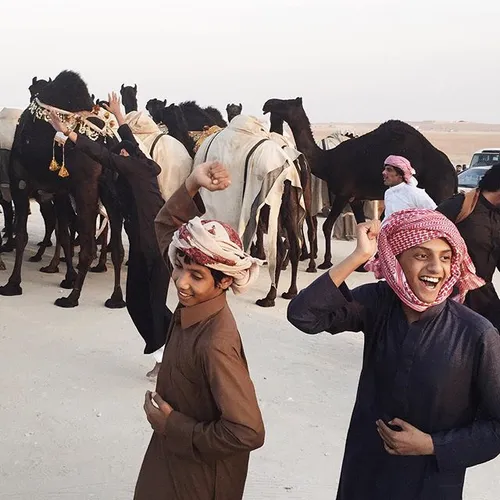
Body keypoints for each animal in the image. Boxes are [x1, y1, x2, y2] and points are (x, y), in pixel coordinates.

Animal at [0, 68, 125, 306]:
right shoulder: (59, 192)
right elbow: (64, 236)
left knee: (88, 247)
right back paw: (115, 299)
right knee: (117, 248)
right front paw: (67, 277)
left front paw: (12, 284)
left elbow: (22, 235)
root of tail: (109, 143)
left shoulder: (20, 183)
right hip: (111, 193)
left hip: (86, 188)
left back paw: (72, 298)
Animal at [194, 115, 304, 306]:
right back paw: (291, 291)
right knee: (293, 245)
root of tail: (289, 164)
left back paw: (269, 297)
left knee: (278, 249)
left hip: (271, 206)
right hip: (290, 206)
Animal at [264, 98, 458, 270]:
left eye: (285, 103)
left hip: (439, 193)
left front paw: (326, 262)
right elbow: (361, 226)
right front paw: (362, 265)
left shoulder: (344, 193)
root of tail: (452, 171)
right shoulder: (357, 198)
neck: (328, 161)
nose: (267, 104)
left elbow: (327, 226)